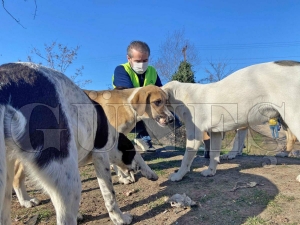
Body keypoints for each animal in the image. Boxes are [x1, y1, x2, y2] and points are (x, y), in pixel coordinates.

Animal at [0, 62, 137, 224]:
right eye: (132, 153)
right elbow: (110, 194)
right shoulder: (100, 155)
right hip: (68, 185)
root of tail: (6, 81)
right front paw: (119, 218)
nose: (136, 167)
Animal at [162, 60, 300, 182]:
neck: (181, 94)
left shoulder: (194, 135)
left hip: (293, 117)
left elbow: (186, 159)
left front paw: (178, 176)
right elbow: (213, 155)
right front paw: (210, 171)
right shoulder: (215, 133)